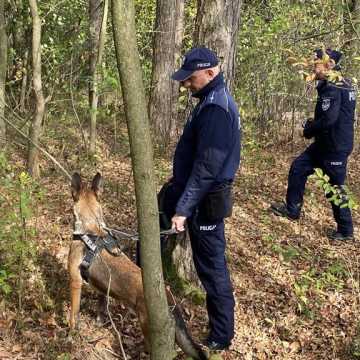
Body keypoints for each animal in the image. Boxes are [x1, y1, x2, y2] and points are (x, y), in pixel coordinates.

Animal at [68, 173, 208, 358]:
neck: (90, 229)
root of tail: (170, 300)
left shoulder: (75, 282)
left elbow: (73, 314)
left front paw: (69, 335)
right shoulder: (102, 287)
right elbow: (101, 304)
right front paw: (99, 321)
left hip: (149, 332)